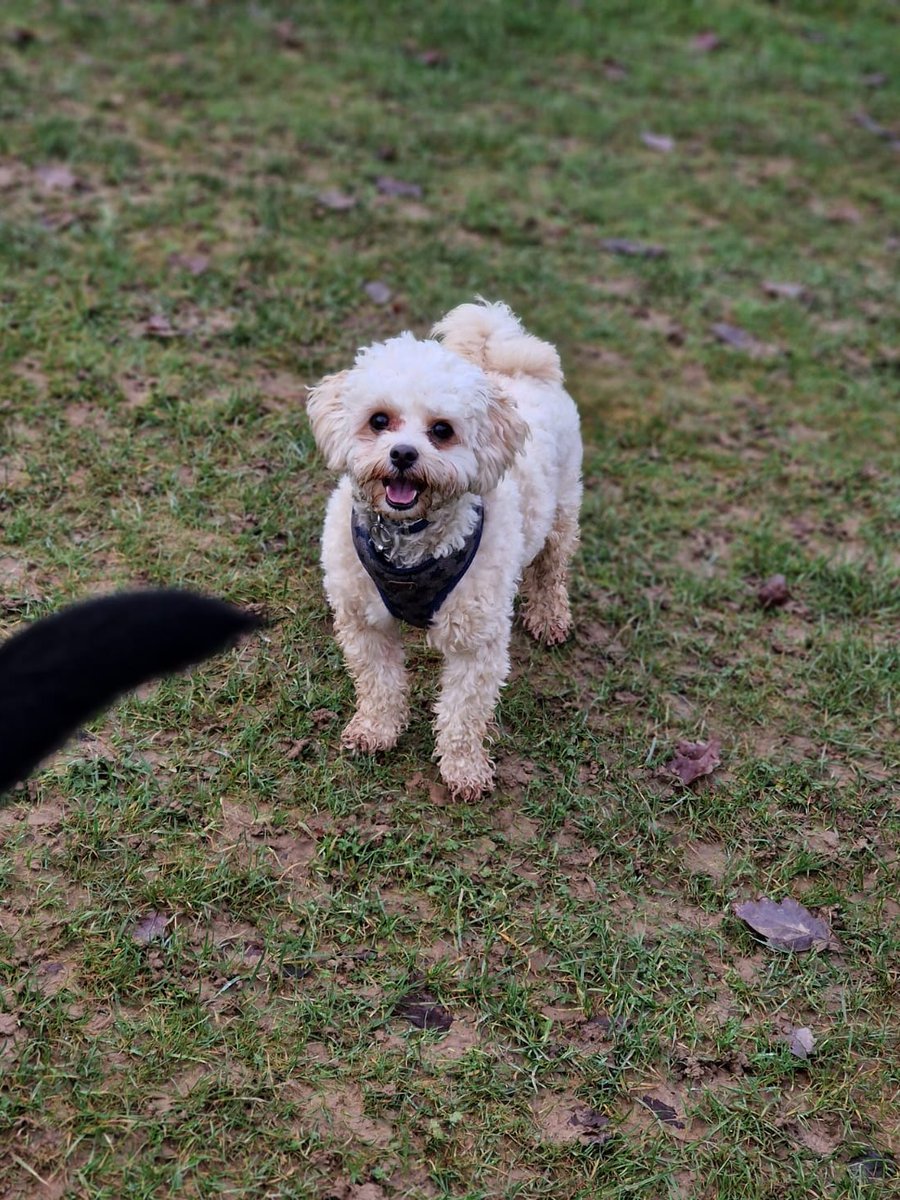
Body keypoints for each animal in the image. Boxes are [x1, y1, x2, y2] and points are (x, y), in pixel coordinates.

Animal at [309, 300, 585, 801]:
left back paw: (550, 616)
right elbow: (379, 683)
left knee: (551, 568)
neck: (408, 541)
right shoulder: (363, 621)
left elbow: (464, 712)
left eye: (442, 430)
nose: (402, 454)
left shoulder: (477, 642)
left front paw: (464, 769)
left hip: (562, 511)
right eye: (379, 420)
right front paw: (376, 730)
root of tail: (518, 365)